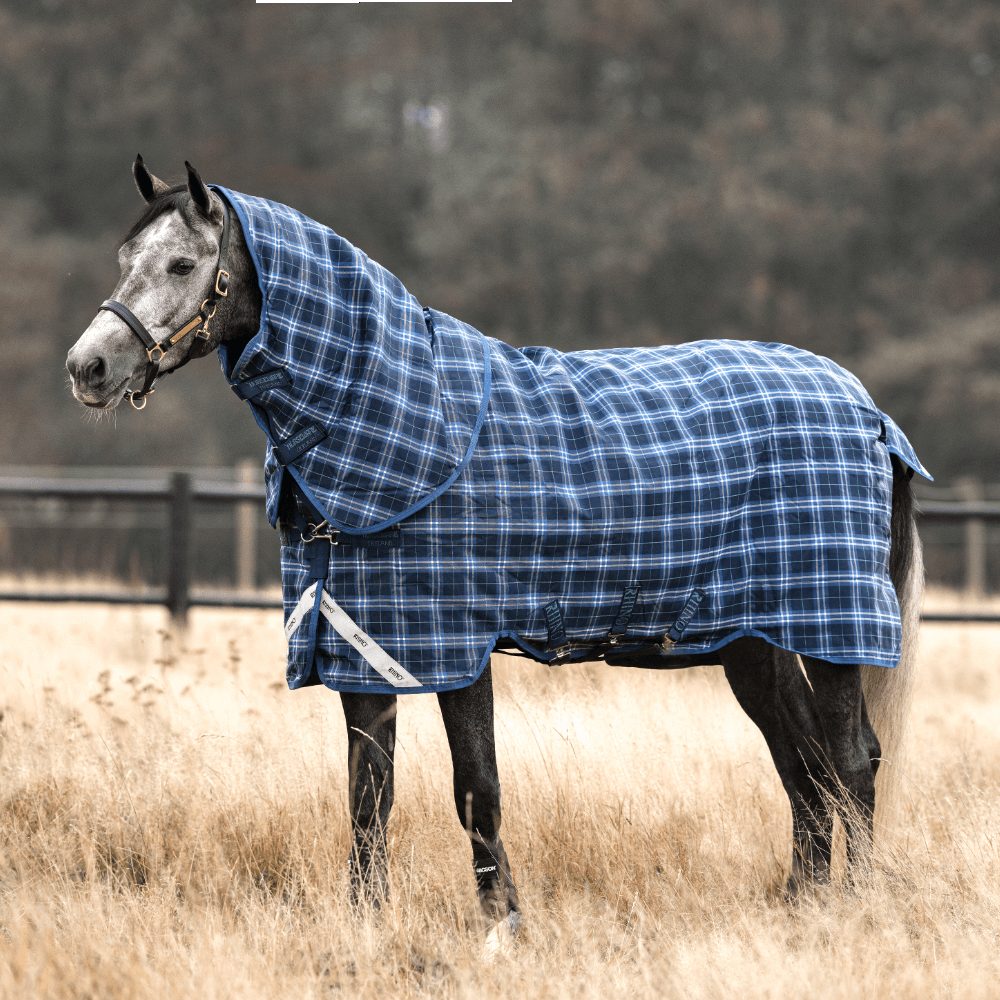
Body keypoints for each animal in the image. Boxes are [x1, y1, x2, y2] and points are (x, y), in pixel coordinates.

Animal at [66, 158, 925, 946]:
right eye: (124, 258)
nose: (89, 368)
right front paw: (366, 923)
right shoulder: (363, 647)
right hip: (758, 642)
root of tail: (866, 410)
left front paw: (502, 924)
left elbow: (475, 787)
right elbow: (368, 795)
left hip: (832, 627)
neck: (406, 423)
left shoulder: (458, 647)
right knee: (806, 770)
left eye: (183, 265)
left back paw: (854, 910)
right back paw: (802, 909)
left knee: (852, 762)